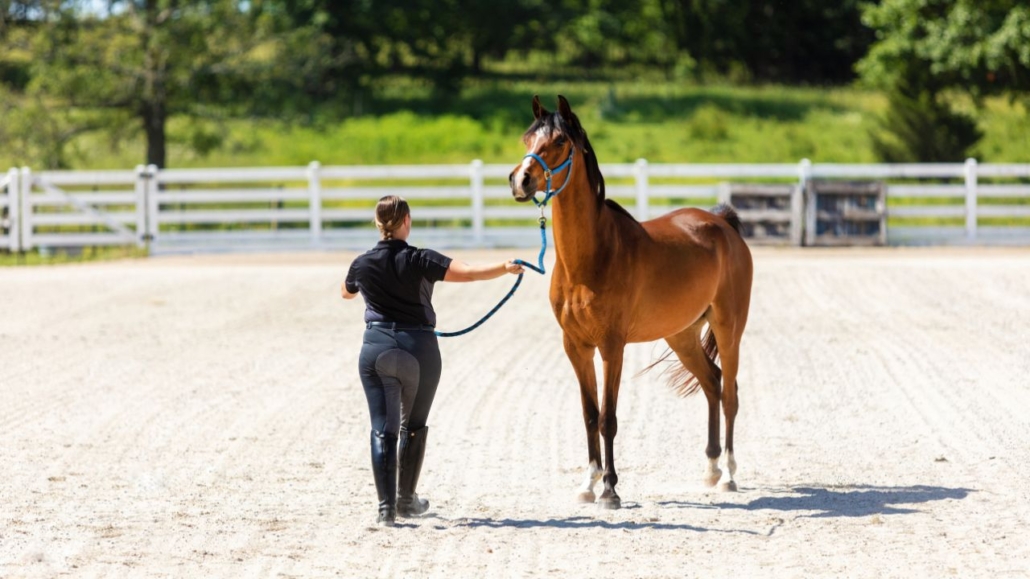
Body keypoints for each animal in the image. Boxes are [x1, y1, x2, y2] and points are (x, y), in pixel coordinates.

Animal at [510, 96, 753, 506]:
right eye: (527, 138)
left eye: (559, 141)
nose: (520, 180)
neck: (590, 258)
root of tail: (723, 224)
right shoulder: (575, 346)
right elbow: (590, 415)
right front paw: (588, 484)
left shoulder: (612, 347)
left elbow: (609, 417)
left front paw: (610, 489)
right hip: (682, 334)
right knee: (712, 382)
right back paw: (710, 469)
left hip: (728, 328)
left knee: (731, 394)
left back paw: (730, 475)